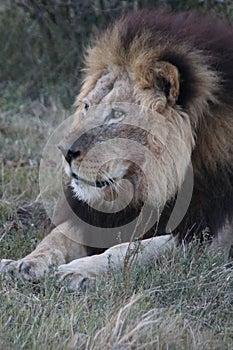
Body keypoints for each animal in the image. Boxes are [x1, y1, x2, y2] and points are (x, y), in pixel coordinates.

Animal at [0, 9, 233, 292]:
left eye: (116, 115)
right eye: (87, 106)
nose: (64, 151)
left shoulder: (207, 237)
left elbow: (133, 250)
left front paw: (76, 271)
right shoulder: (92, 217)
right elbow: (56, 237)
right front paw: (24, 263)